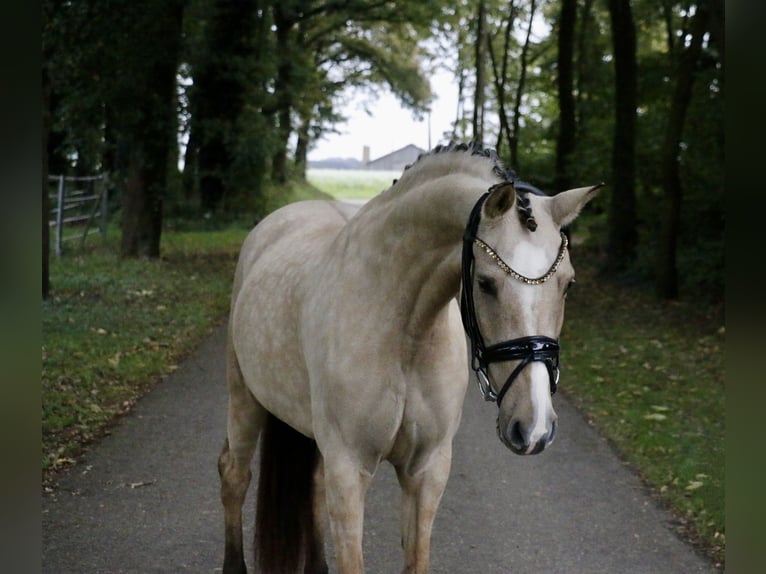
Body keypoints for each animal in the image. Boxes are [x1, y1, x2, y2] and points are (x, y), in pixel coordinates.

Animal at [219, 141, 604, 574]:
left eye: (568, 284)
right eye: (486, 283)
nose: (534, 427)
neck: (403, 330)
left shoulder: (427, 469)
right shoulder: (349, 468)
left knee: (311, 485)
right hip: (245, 398)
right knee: (234, 473)